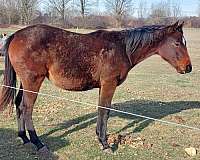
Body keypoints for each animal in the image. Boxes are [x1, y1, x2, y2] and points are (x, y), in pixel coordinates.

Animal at [0, 21, 191, 152]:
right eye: (177, 43)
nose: (188, 67)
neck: (122, 48)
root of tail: (15, 35)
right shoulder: (109, 84)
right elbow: (105, 111)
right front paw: (105, 143)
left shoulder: (103, 86)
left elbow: (101, 110)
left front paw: (100, 138)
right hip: (33, 81)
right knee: (27, 108)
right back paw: (38, 143)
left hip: (25, 82)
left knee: (19, 105)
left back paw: (24, 138)